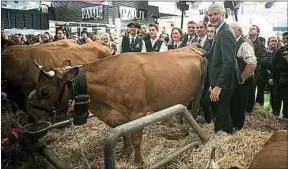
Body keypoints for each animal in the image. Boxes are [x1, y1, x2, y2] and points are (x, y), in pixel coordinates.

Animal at [31, 46, 207, 166]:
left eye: (45, 91)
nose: (32, 118)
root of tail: (193, 47)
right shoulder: (119, 115)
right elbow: (124, 136)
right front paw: (124, 153)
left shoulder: (138, 113)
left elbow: (136, 140)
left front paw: (138, 162)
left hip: (200, 89)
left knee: (195, 107)